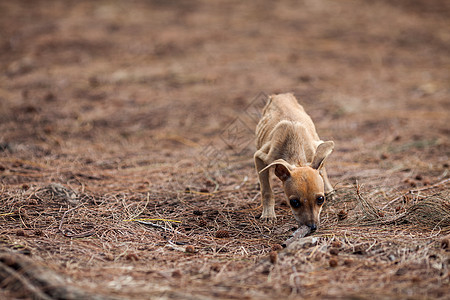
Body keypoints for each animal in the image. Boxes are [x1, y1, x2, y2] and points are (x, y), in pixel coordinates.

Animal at [253, 94, 334, 232]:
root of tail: (281, 95)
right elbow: (266, 190)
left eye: (320, 199)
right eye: (294, 202)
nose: (312, 227)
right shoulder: (260, 157)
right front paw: (268, 215)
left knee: (322, 166)